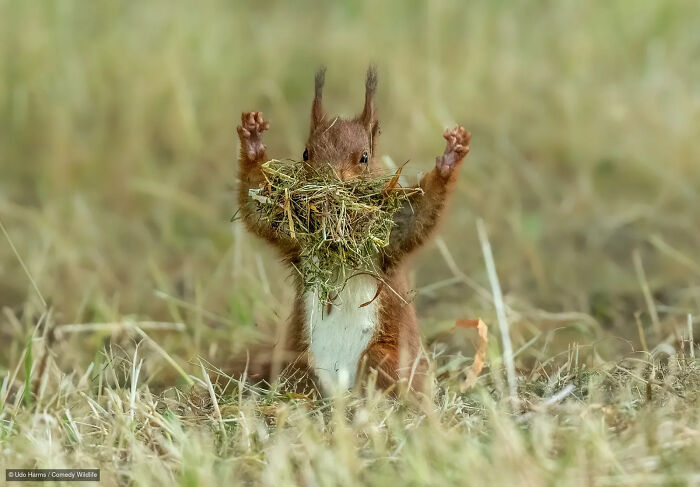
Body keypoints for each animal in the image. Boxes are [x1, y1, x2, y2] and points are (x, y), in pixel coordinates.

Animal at [236, 66, 470, 395]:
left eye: (364, 157)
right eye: (306, 153)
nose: (329, 183)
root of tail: (339, 394)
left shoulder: (393, 233)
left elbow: (421, 214)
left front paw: (449, 159)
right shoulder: (292, 237)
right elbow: (257, 209)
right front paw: (253, 143)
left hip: (385, 355)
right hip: (295, 361)